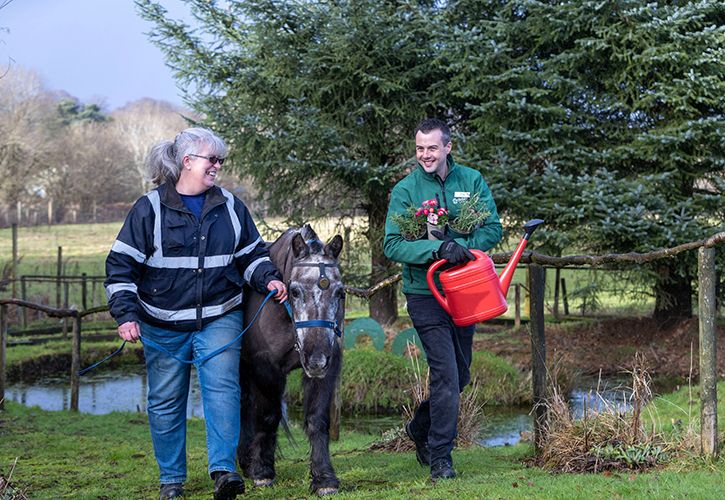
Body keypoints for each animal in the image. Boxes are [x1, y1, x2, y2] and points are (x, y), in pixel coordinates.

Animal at [235, 226, 342, 496]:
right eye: (294, 291)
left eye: (340, 292)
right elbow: (268, 416)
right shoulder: (265, 368)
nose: (316, 358)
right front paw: (263, 471)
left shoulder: (329, 366)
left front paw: (324, 478)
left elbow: (317, 420)